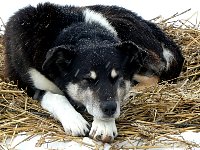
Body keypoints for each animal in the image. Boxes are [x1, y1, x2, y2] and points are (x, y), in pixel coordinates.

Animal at [3, 2, 184, 142]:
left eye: (117, 77)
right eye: (88, 79)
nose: (110, 109)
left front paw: (104, 125)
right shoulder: (26, 84)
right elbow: (57, 97)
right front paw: (74, 120)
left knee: (155, 77)